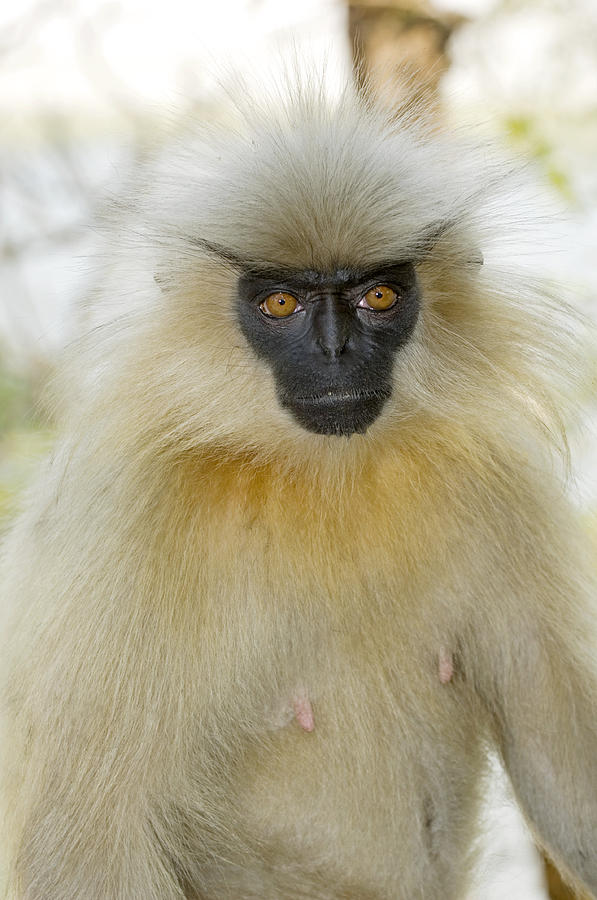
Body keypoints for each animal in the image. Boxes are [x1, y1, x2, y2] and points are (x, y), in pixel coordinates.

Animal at [1, 77, 596, 900]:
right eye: (280, 304)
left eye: (377, 297)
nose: (337, 352)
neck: (321, 478)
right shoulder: (125, 510)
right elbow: (83, 843)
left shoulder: (496, 467)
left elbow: (560, 759)